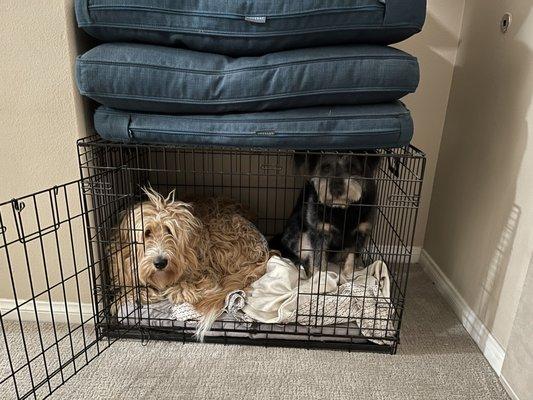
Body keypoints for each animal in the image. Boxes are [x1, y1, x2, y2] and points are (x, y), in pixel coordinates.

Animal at [109, 189, 268, 340]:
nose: (160, 263)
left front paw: (179, 290)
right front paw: (130, 295)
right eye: (147, 232)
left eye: (169, 230)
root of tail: (263, 248)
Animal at [270, 152, 378, 282]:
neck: (341, 211)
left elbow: (352, 257)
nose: (336, 189)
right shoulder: (319, 232)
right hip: (302, 238)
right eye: (325, 168)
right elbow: (318, 259)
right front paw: (319, 279)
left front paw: (349, 275)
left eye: (352, 167)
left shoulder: (361, 232)